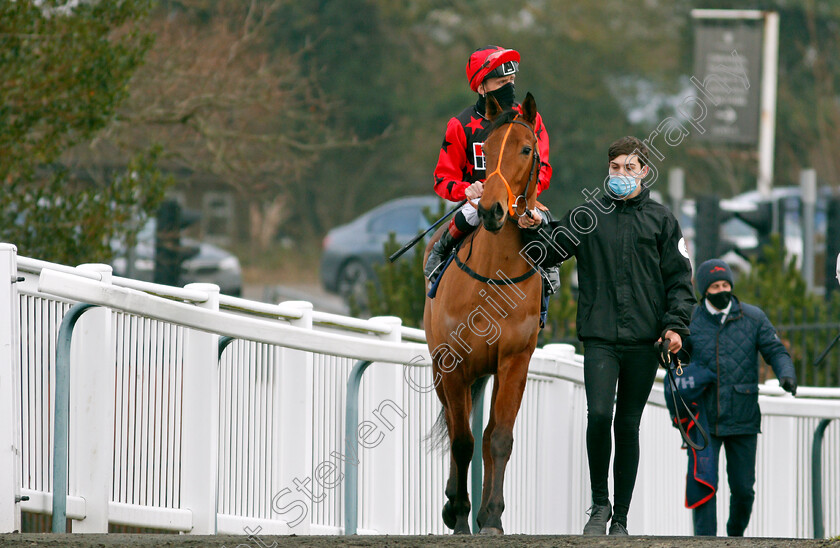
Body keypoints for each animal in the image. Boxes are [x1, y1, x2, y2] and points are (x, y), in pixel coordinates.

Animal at [424, 92, 540, 532]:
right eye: (484, 151)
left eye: (527, 149)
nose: (491, 209)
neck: (493, 276)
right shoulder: (454, 362)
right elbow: (462, 440)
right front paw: (458, 512)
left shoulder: (514, 360)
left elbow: (498, 438)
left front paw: (491, 515)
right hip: (441, 367)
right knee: (454, 423)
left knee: (487, 435)